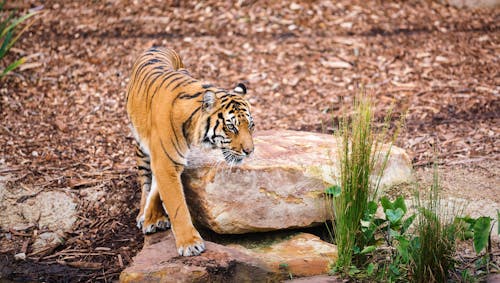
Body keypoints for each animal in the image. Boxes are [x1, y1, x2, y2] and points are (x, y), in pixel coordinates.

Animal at [126, 47, 254, 258]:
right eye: (231, 127)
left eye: (251, 125)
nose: (250, 151)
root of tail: (158, 47)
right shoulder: (165, 163)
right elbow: (177, 205)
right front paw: (190, 244)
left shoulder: (170, 161)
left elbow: (158, 189)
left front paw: (154, 217)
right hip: (140, 145)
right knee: (145, 181)